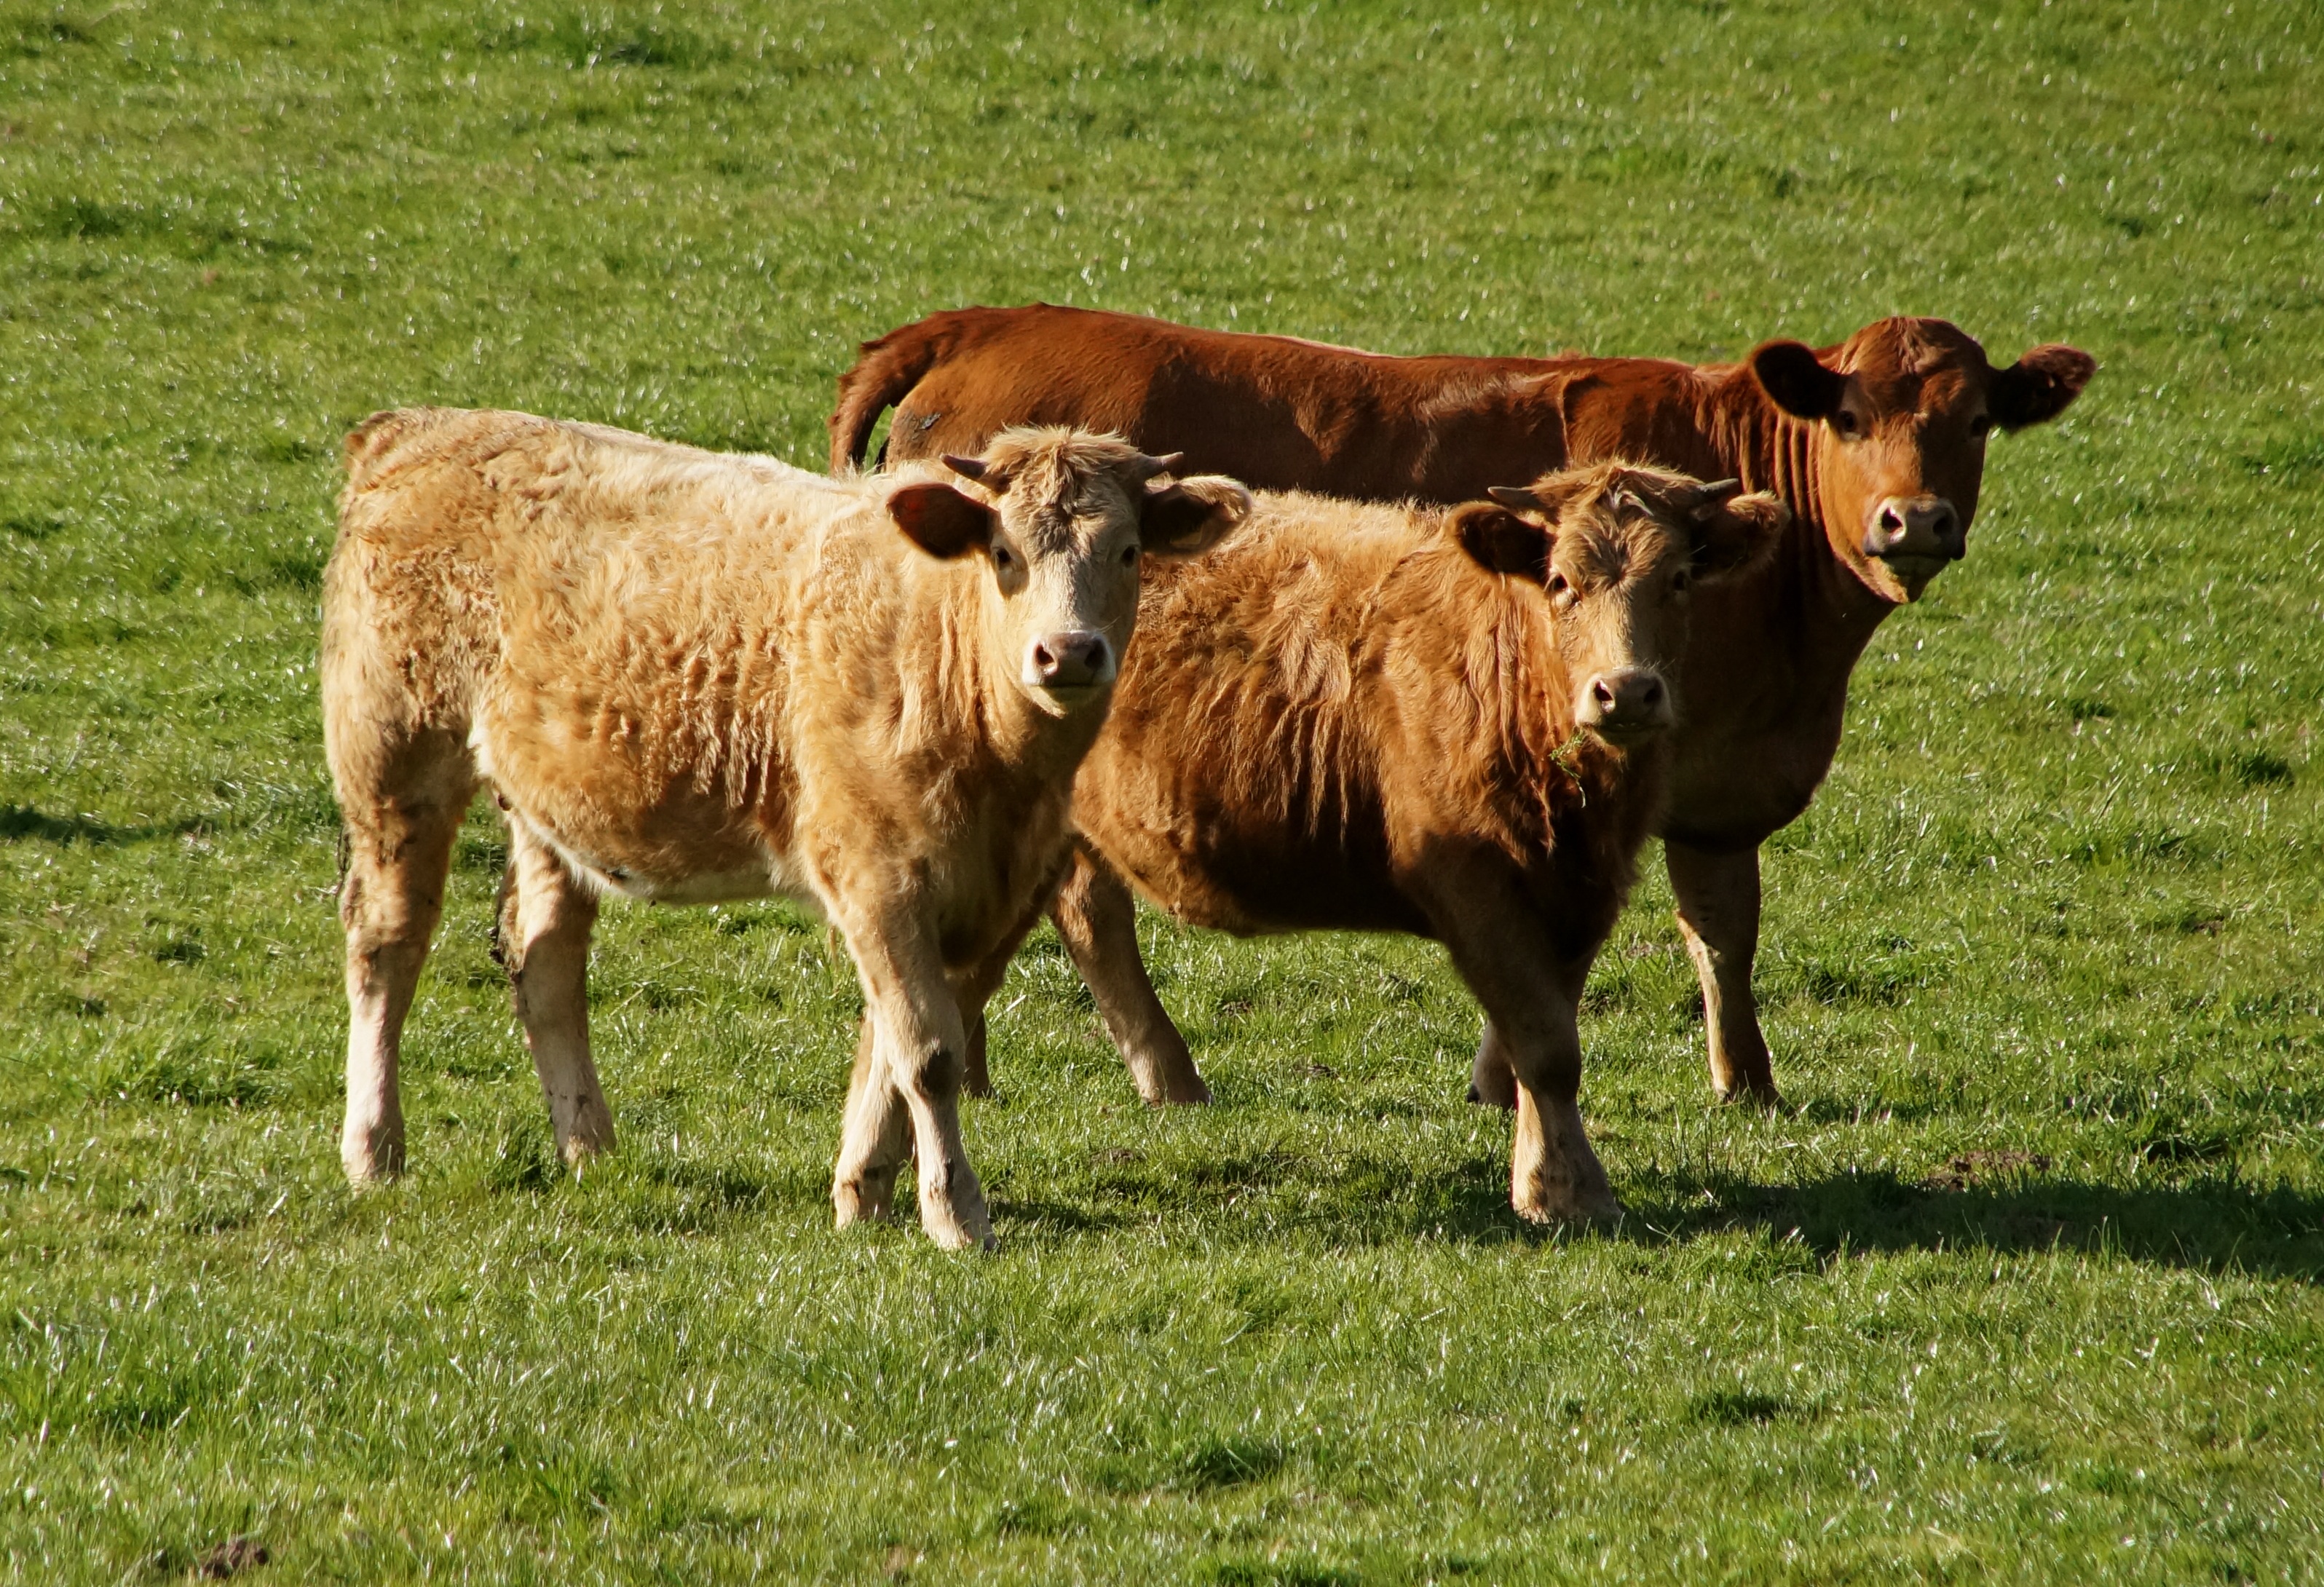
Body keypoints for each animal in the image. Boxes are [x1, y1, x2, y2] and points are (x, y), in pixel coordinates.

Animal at [320, 409, 1248, 1248]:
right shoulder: (876, 873)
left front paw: (865, 1189)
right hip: (396, 757)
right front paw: (956, 1212)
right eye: (1005, 553)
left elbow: (896, 1045)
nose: (1069, 653)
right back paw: (374, 1149)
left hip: (547, 803)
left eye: (1128, 551)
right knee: (386, 943)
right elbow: (928, 1052)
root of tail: (415, 427)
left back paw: (589, 1145)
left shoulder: (998, 894)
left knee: (543, 957)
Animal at [831, 304, 2094, 1109]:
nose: (1913, 521)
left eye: (1976, 420)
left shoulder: (1709, 784)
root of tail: (983, 322)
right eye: (1850, 418)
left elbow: (1721, 930)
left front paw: (1745, 1082)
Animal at [1061, 460, 1787, 1220]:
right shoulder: (1471, 882)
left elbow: (1547, 1035)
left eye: (1677, 579)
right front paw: (1570, 1192)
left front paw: (1539, 1175)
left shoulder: (1583, 893)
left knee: (1089, 917)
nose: (1626, 691)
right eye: (1562, 582)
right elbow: (1547, 1046)